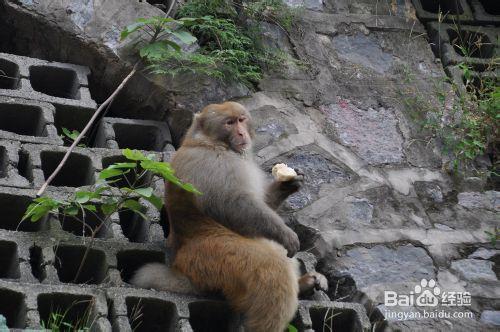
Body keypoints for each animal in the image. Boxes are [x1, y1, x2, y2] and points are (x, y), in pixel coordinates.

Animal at [133, 102, 328, 332]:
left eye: (241, 120)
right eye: (229, 123)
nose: (242, 132)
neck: (213, 143)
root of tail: (181, 266)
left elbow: (262, 203)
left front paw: (287, 184)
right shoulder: (213, 163)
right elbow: (235, 204)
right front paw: (286, 234)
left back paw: (304, 284)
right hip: (215, 258)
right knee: (274, 268)